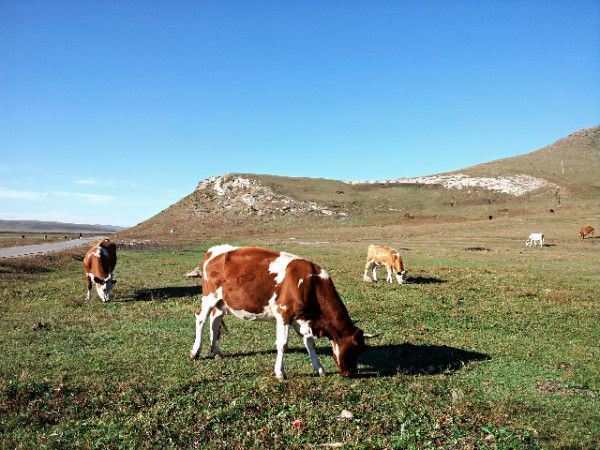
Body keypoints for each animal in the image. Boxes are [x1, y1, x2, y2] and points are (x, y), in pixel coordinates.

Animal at [190, 246, 366, 380]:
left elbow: (310, 344)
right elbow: (283, 344)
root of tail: (213, 250)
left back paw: (216, 351)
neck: (311, 283)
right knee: (201, 318)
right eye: (354, 349)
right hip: (209, 296)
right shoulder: (284, 314)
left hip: (222, 302)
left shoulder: (302, 319)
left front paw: (320, 369)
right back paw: (195, 352)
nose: (350, 373)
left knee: (215, 319)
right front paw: (280, 373)